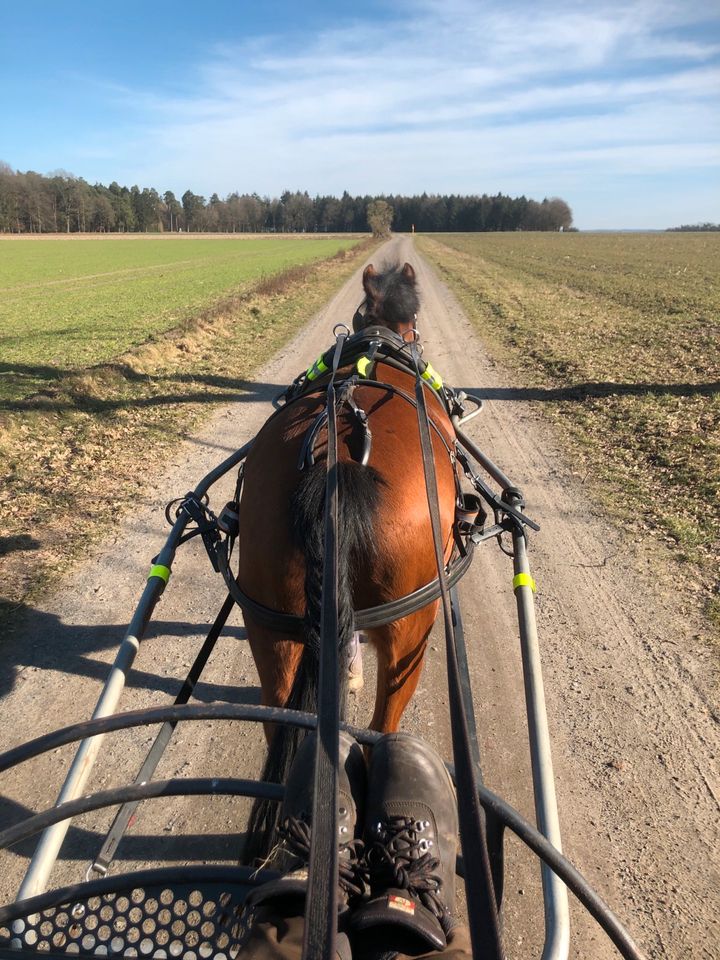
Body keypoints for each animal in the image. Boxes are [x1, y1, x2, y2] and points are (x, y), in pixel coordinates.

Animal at [239, 260, 458, 856]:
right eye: (416, 322)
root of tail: (335, 464)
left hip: (271, 628)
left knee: (279, 720)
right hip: (413, 629)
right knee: (385, 727)